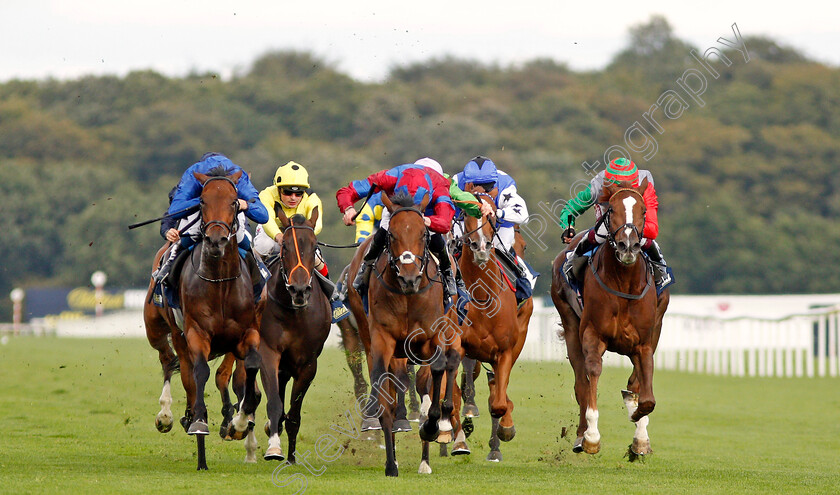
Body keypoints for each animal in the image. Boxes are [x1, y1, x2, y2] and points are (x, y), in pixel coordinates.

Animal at [145, 169, 262, 470]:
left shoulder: (246, 333)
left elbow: (248, 370)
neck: (219, 282)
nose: (216, 241)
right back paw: (170, 415)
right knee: (171, 363)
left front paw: (239, 422)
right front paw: (199, 423)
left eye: (234, 201)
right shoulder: (196, 333)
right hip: (159, 329)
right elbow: (199, 374)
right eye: (202, 201)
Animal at [260, 207, 332, 464]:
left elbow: (293, 413)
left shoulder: (308, 363)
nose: (299, 290)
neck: (294, 313)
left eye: (314, 245)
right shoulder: (268, 352)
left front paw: (291, 457)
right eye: (285, 246)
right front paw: (274, 449)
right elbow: (274, 403)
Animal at [360, 193, 460, 476]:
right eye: (391, 235)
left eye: (423, 234)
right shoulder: (383, 339)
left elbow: (436, 372)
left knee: (447, 367)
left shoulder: (432, 337)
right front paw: (390, 462)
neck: (407, 296)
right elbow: (381, 381)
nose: (409, 278)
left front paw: (432, 426)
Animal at [456, 189, 536, 462]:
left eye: (491, 215)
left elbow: (499, 403)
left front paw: (506, 428)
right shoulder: (460, 346)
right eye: (464, 214)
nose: (481, 247)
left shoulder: (505, 351)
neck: (482, 295)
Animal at [548, 179, 672, 462]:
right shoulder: (592, 335)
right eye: (611, 209)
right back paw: (581, 435)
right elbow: (591, 376)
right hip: (570, 325)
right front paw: (591, 437)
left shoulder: (645, 342)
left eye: (644, 211)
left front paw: (639, 436)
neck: (624, 282)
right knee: (581, 383)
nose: (628, 245)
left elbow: (646, 396)